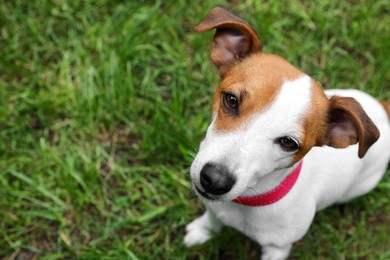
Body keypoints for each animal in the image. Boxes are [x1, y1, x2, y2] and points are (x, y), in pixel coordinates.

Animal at [184, 7, 390, 258]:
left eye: (288, 142)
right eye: (231, 100)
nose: (215, 180)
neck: (246, 201)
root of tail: (382, 109)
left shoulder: (278, 248)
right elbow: (213, 218)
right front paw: (203, 231)